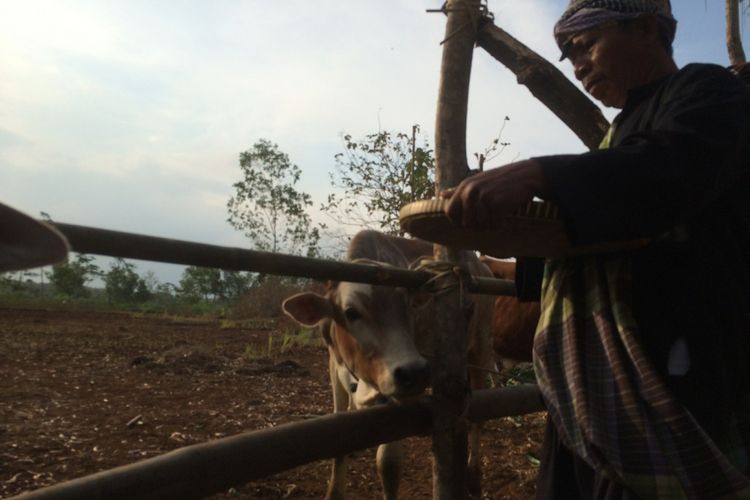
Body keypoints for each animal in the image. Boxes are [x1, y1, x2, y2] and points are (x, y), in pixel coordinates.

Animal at [280, 230, 494, 500]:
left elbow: (389, 463)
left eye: (410, 307)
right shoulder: (334, 367)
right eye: (351, 312)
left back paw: (473, 478)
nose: (415, 372)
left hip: (480, 349)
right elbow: (339, 434)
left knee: (477, 417)